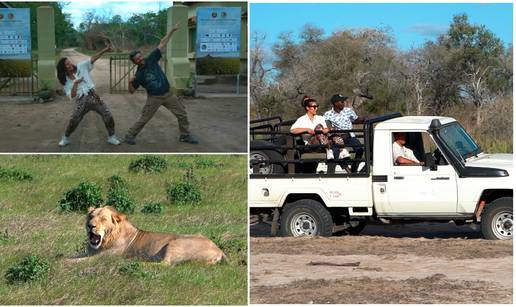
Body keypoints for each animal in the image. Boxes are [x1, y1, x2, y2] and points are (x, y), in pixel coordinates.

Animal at [79, 206, 225, 266]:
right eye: (91, 217)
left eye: (103, 219)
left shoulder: (102, 257)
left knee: (165, 265)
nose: (90, 226)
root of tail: (219, 249)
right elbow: (76, 256)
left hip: (174, 242)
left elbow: (78, 261)